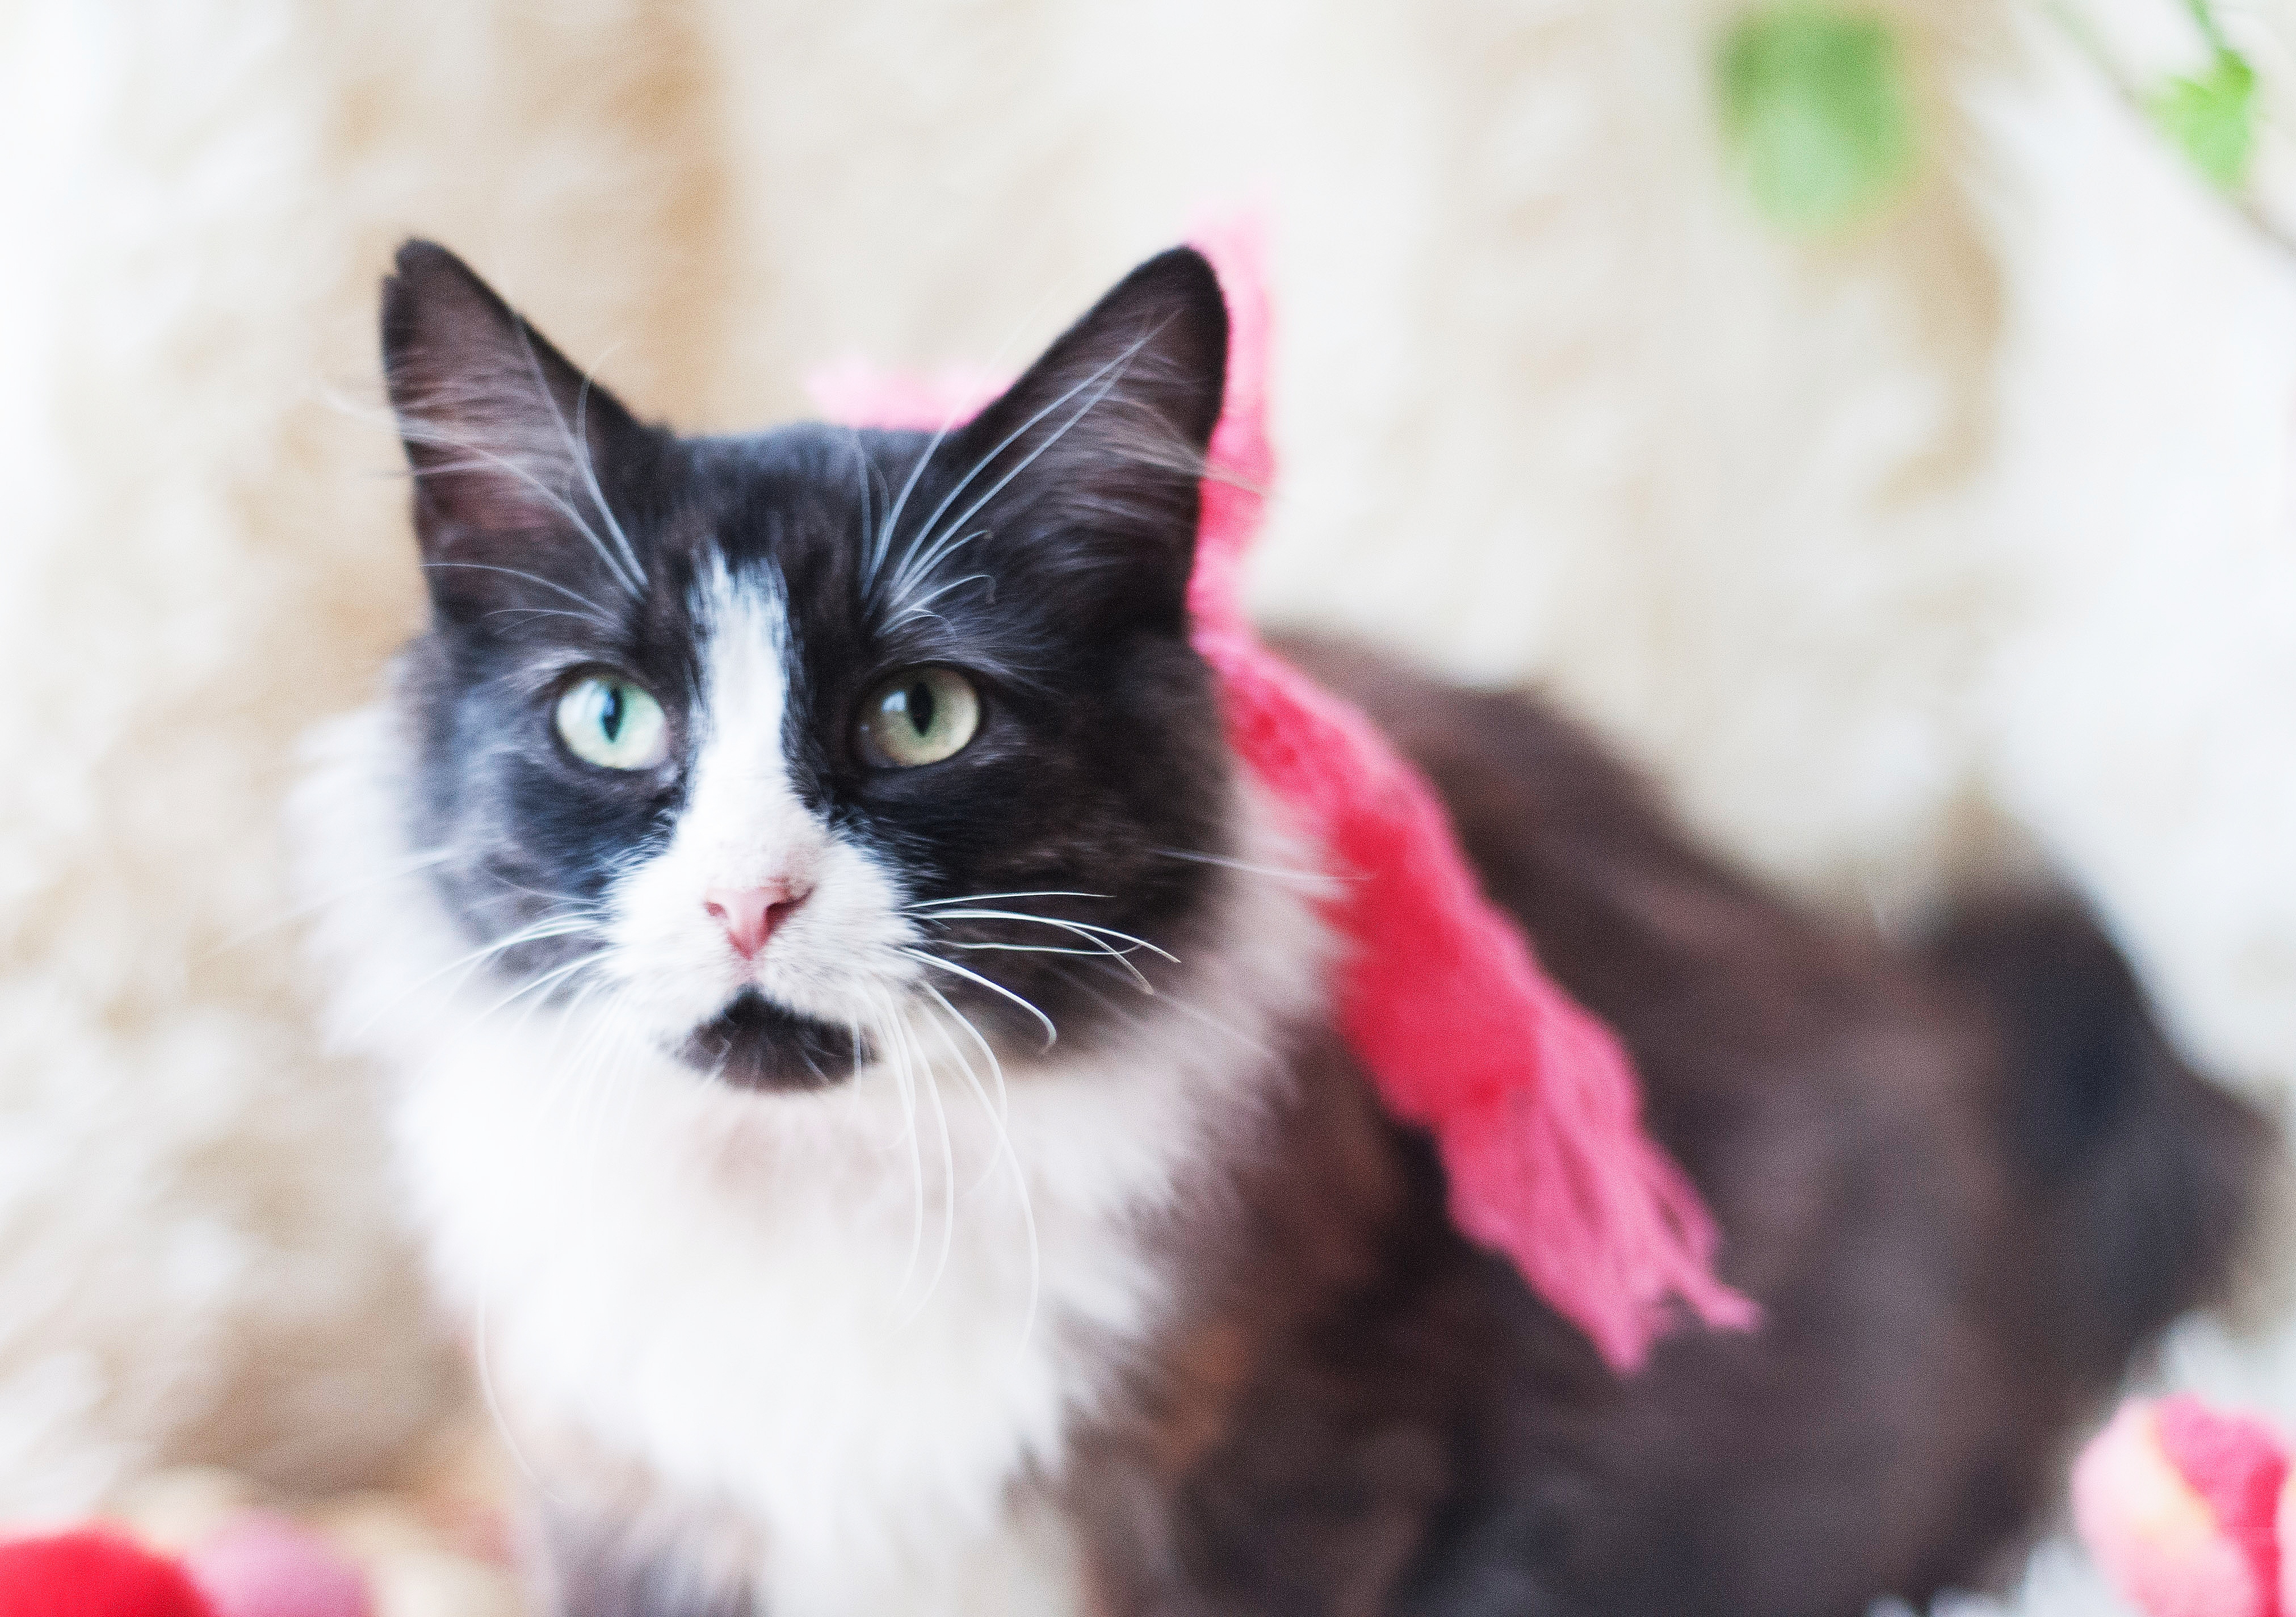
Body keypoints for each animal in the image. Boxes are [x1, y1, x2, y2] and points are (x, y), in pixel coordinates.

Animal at [296, 240, 2271, 1617]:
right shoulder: (624, 1500)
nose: (746, 894)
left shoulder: (1333, 1462)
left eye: (921, 717)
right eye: (609, 717)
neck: (832, 1195)